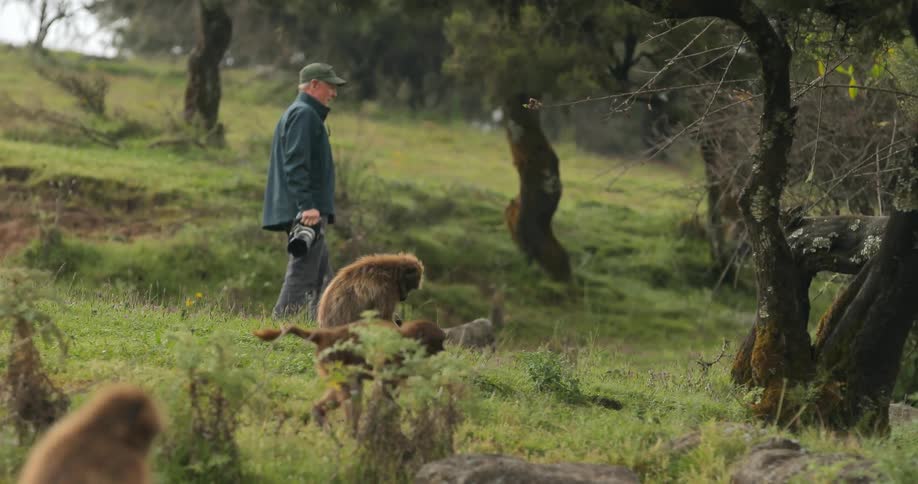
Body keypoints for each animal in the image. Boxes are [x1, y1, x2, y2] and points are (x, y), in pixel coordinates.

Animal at [253, 319, 445, 434]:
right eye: (439, 342)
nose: (444, 350)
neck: (404, 338)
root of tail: (326, 335)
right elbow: (383, 391)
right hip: (332, 360)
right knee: (350, 391)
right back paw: (351, 433)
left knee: (349, 389)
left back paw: (320, 414)